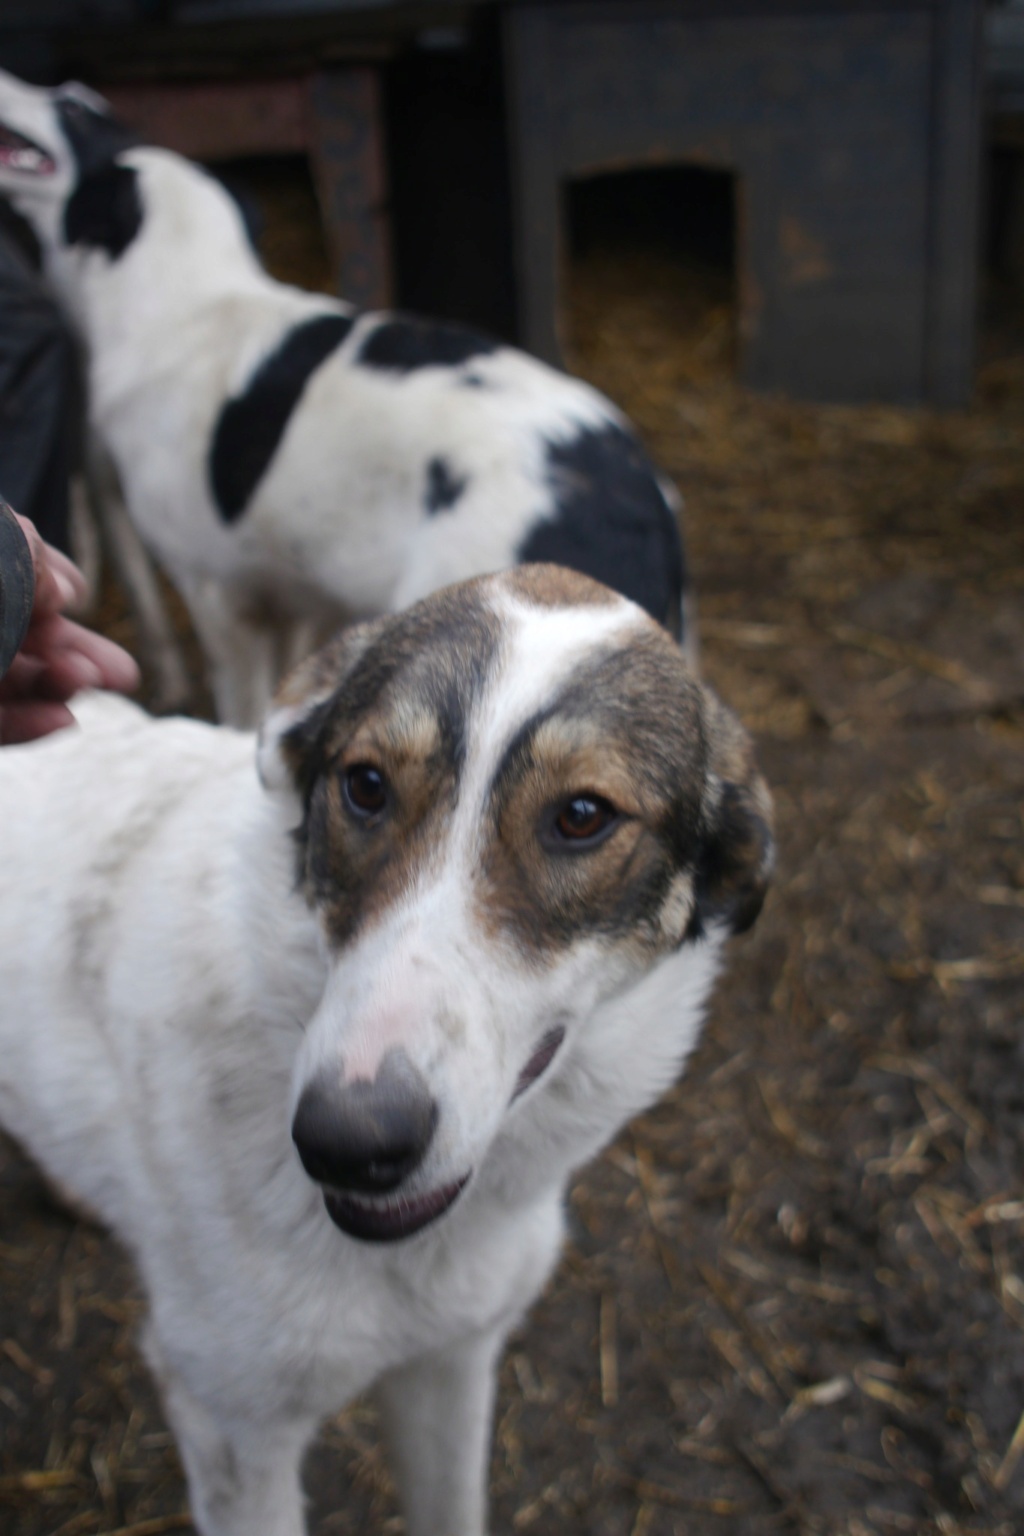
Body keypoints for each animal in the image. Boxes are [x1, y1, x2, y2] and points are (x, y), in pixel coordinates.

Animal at [0, 66, 696, 724]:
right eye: (90, 107)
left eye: (71, 107)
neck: (187, 303)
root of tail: (644, 501)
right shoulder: (295, 589)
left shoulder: (216, 588)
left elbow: (240, 702)